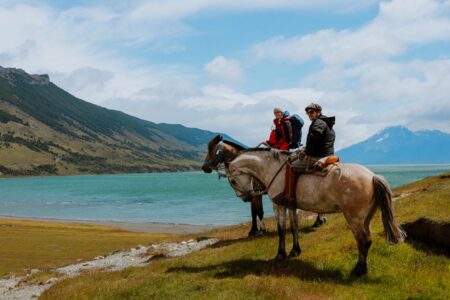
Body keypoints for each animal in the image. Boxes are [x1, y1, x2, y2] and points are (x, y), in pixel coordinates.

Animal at [227, 150, 406, 276]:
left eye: (232, 181)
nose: (247, 197)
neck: (273, 170)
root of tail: (372, 176)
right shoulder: (291, 206)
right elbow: (294, 227)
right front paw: (295, 251)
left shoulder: (278, 206)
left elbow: (281, 230)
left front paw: (280, 255)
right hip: (365, 218)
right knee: (366, 240)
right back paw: (362, 269)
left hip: (354, 218)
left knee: (364, 241)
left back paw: (358, 271)